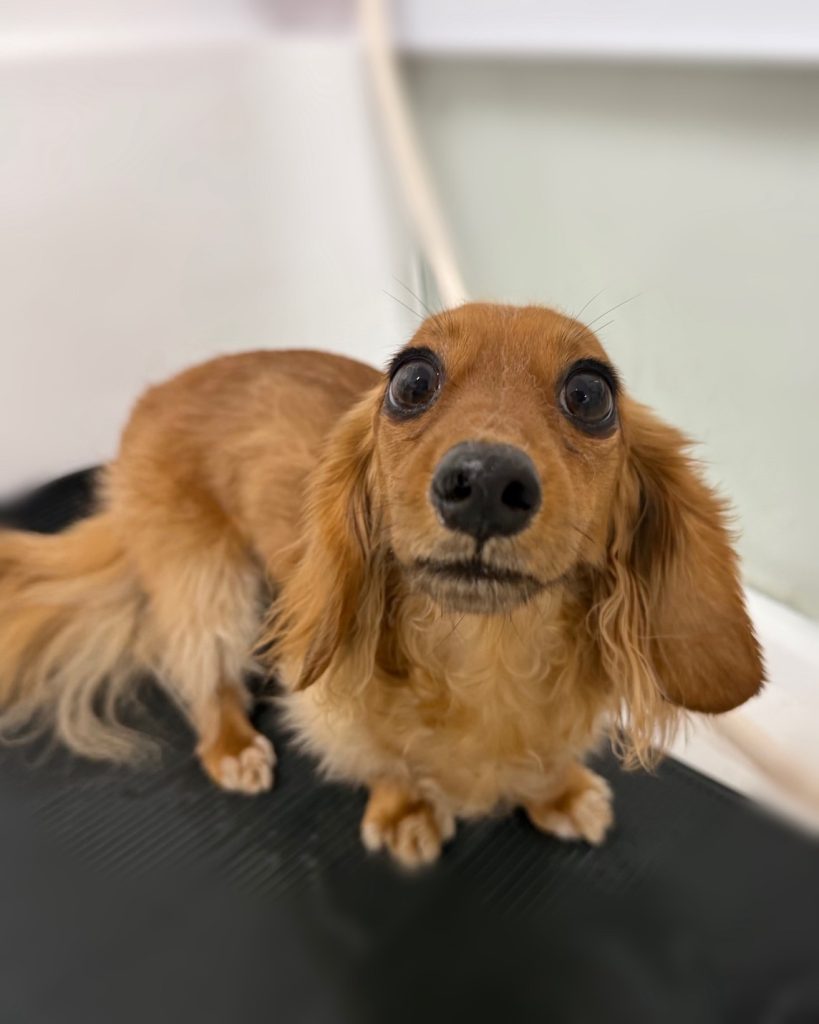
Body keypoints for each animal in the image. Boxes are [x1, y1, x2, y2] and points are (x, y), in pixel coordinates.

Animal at [0, 303, 763, 867]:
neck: (489, 656)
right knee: (202, 677)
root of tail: (157, 393)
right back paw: (231, 746)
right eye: (410, 382)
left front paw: (557, 791)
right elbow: (382, 753)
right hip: (211, 584)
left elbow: (546, 762)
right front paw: (404, 807)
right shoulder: (333, 699)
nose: (485, 483)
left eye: (589, 393)